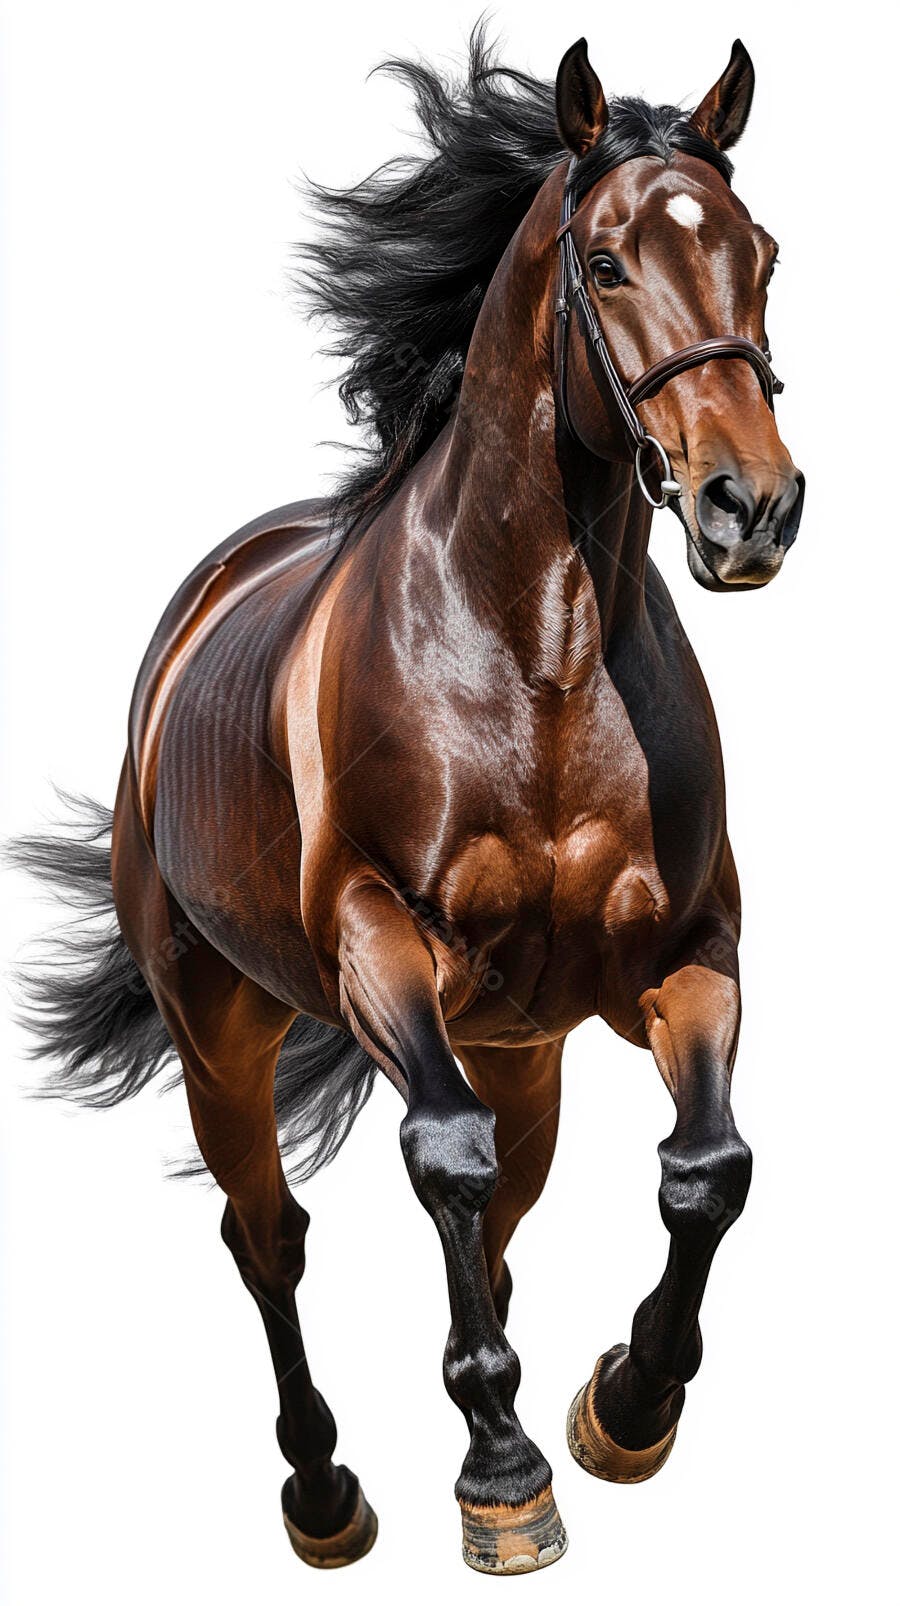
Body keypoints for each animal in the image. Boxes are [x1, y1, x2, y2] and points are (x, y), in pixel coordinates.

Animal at [14, 33, 803, 1576]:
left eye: (762, 253)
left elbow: (707, 1167)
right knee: (269, 1234)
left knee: (498, 1212)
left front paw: (625, 1408)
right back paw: (325, 1493)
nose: (752, 508)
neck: (535, 661)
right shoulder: (382, 946)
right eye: (607, 261)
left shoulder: (687, 956)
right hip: (221, 1026)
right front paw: (504, 1475)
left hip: (523, 1047)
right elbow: (441, 1156)